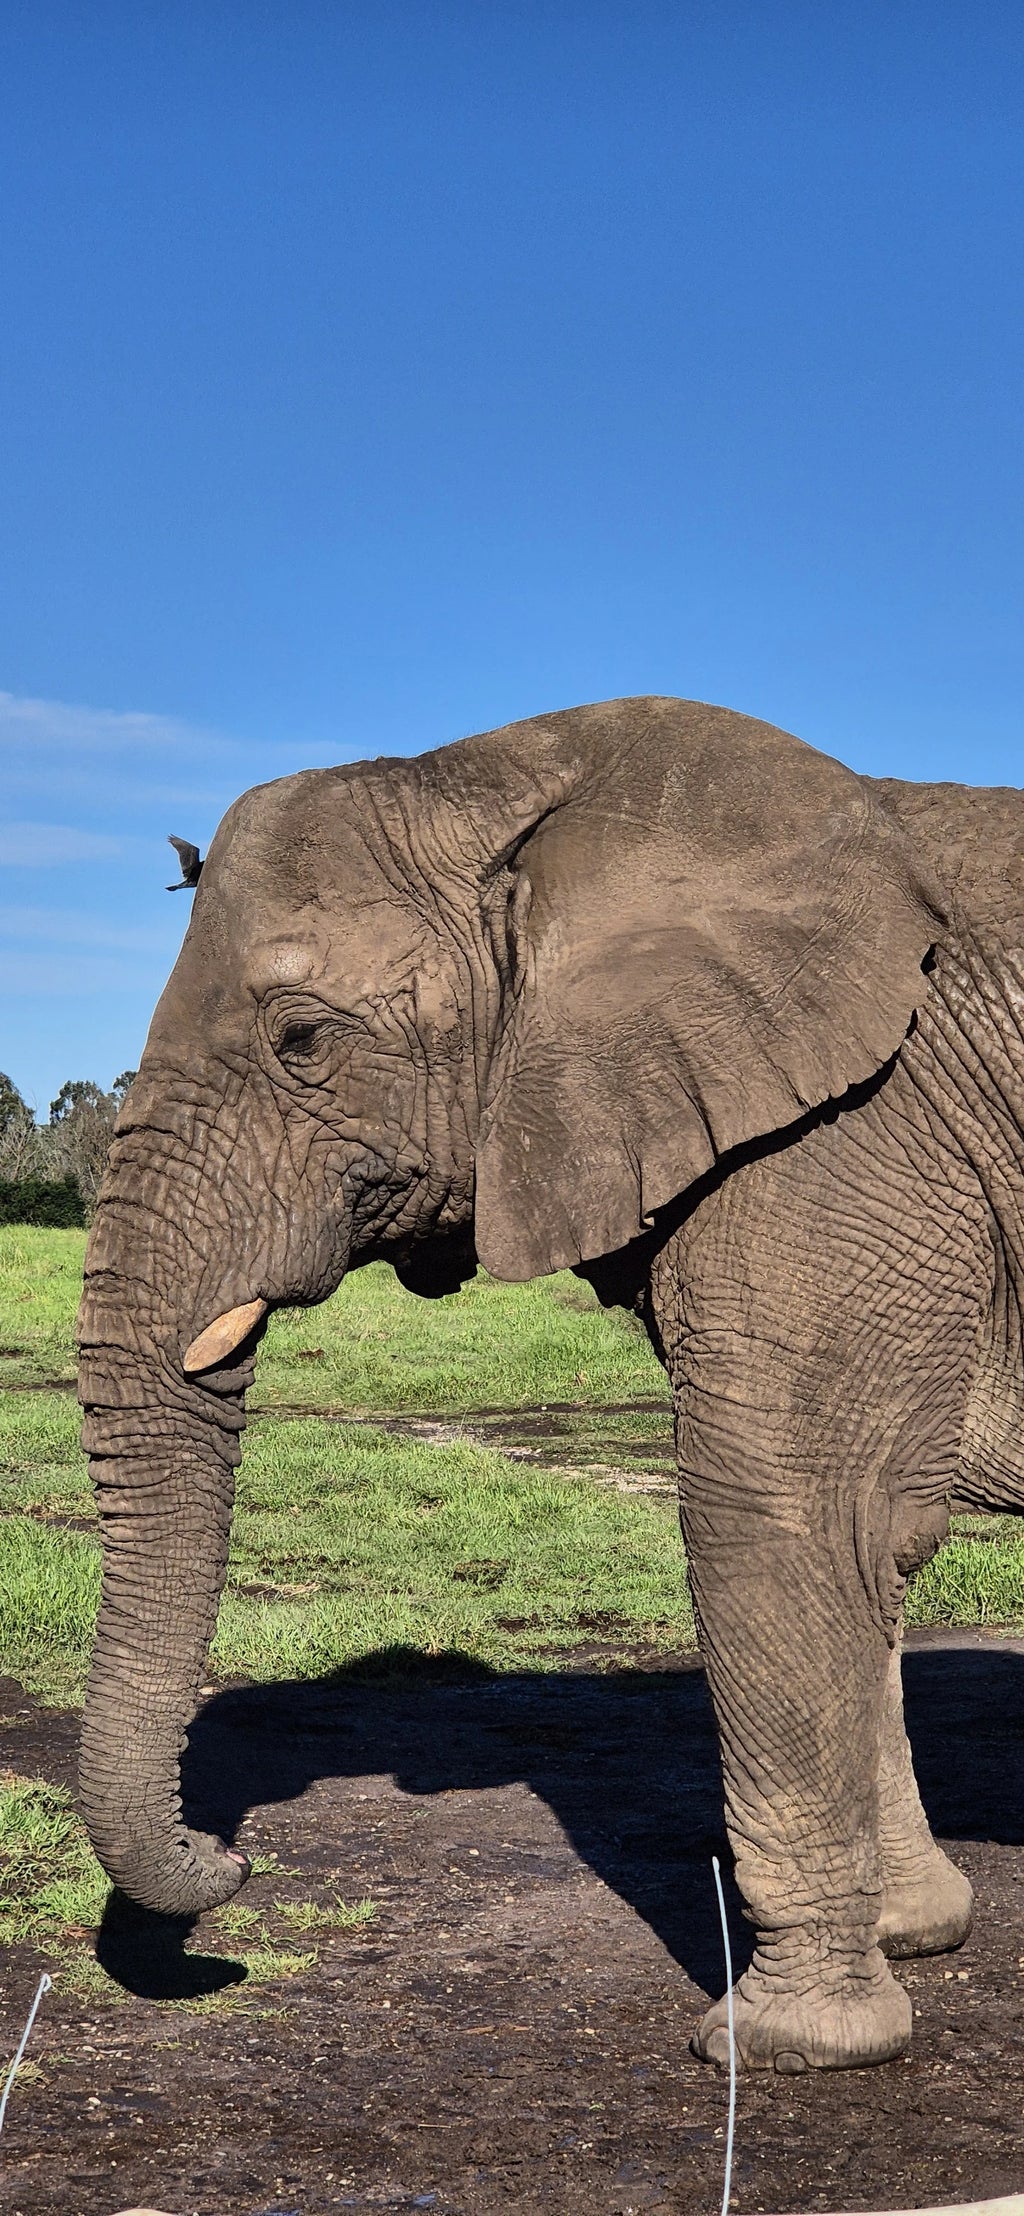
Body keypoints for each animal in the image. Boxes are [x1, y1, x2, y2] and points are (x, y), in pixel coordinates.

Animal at [76, 693, 1024, 2074]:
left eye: (302, 1039)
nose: (230, 1860)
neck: (513, 776)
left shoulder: (852, 1133)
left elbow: (784, 1511)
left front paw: (780, 2047)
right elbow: (876, 1540)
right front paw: (910, 1937)